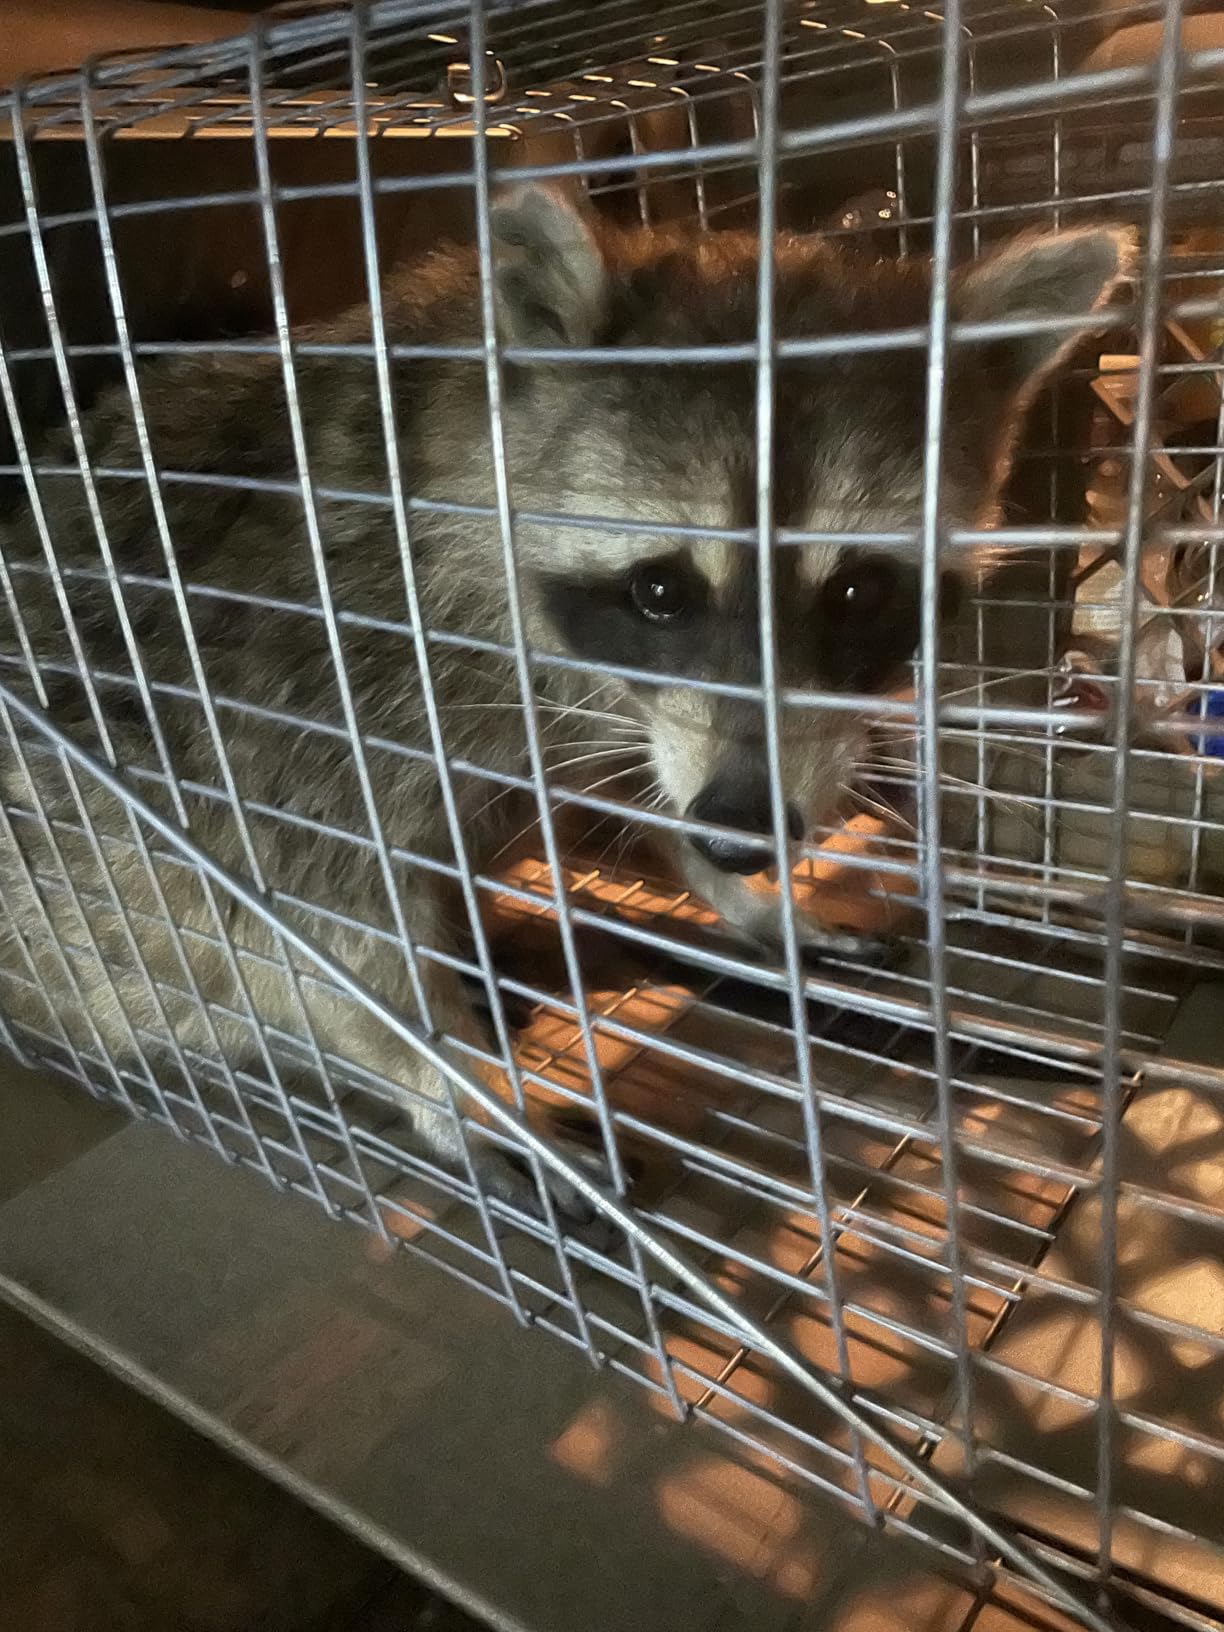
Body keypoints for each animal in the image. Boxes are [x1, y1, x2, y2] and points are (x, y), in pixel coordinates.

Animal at [0, 186, 1130, 1232]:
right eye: (662, 589)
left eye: (856, 591)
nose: (744, 834)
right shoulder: (302, 691)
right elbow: (314, 927)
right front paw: (459, 1095)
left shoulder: (617, 708)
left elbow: (630, 780)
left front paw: (740, 892)